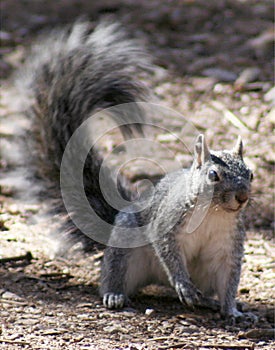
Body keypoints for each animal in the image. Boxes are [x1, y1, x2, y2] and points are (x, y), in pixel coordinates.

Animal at [16, 18, 254, 322]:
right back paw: (115, 294)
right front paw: (182, 284)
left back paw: (207, 302)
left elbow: (229, 279)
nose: (242, 198)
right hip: (126, 247)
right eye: (213, 175)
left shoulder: (228, 246)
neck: (213, 213)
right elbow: (168, 251)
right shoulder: (168, 222)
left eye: (250, 174)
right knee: (113, 274)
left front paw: (233, 310)